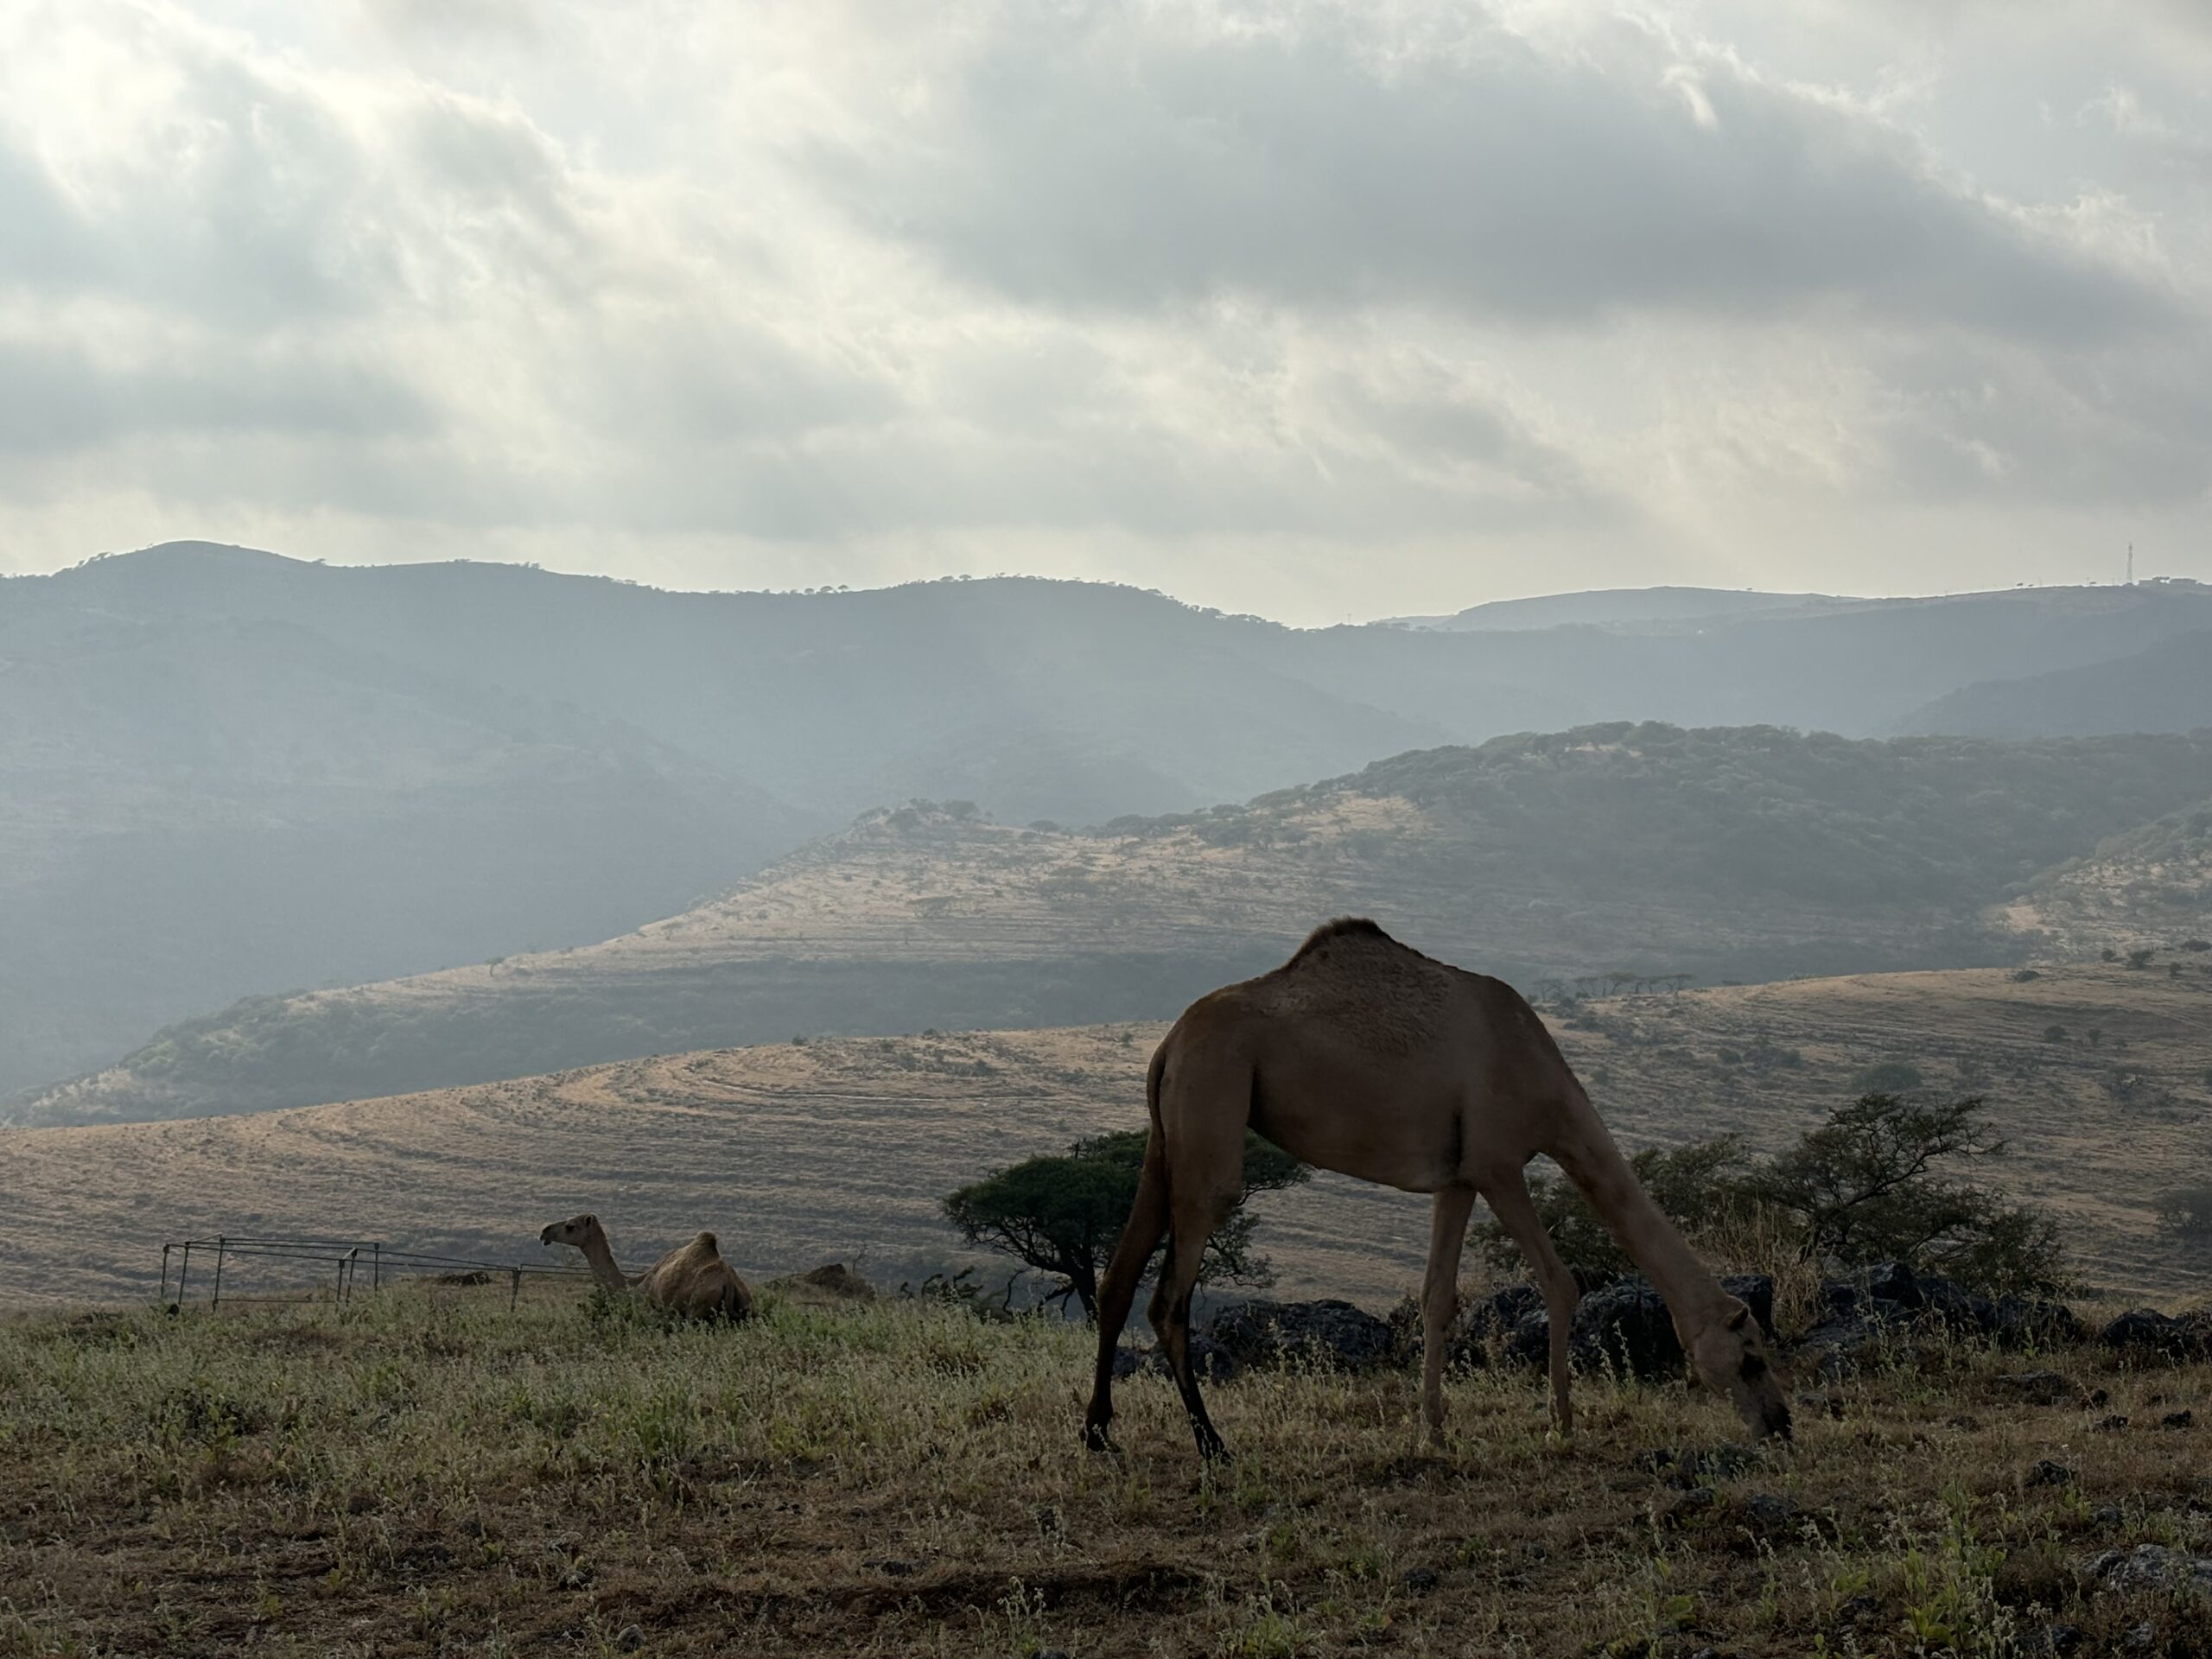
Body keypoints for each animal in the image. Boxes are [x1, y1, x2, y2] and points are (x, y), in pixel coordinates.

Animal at [535, 1211, 752, 1327]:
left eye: (570, 1226)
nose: (544, 1231)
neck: (632, 1287)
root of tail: (728, 1282)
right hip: (745, 1310)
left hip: (696, 1311)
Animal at [1088, 925, 1796, 1468]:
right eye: (1752, 1359)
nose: (1781, 1425)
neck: (1546, 1083)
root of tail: (1168, 1043)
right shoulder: (1497, 1163)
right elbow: (1559, 1281)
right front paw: (1561, 1424)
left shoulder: (1455, 1178)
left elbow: (1437, 1298)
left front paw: (1432, 1431)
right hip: (1213, 1120)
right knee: (1169, 1298)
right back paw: (1213, 1444)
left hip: (1167, 1139)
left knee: (1118, 1279)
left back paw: (1098, 1433)